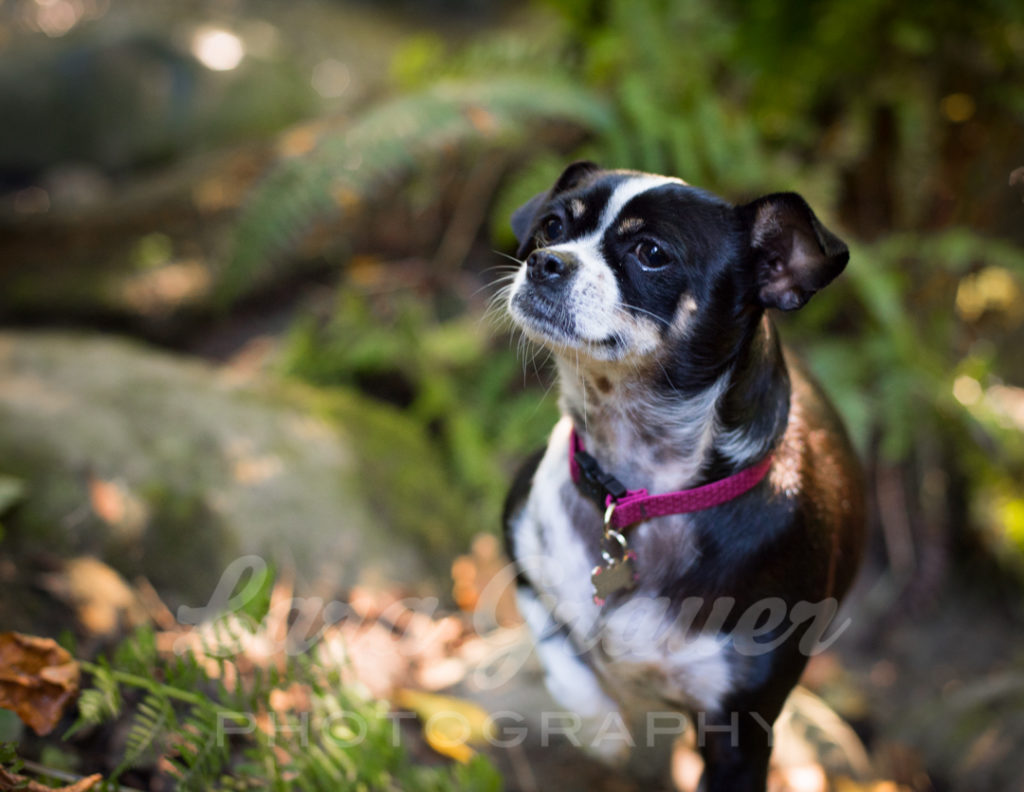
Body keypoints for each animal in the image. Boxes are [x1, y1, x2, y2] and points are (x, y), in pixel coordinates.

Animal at [501, 161, 864, 790]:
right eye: (551, 227)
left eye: (651, 253)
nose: (547, 261)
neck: (635, 493)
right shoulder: (519, 554)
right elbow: (562, 651)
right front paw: (601, 730)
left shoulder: (739, 737)